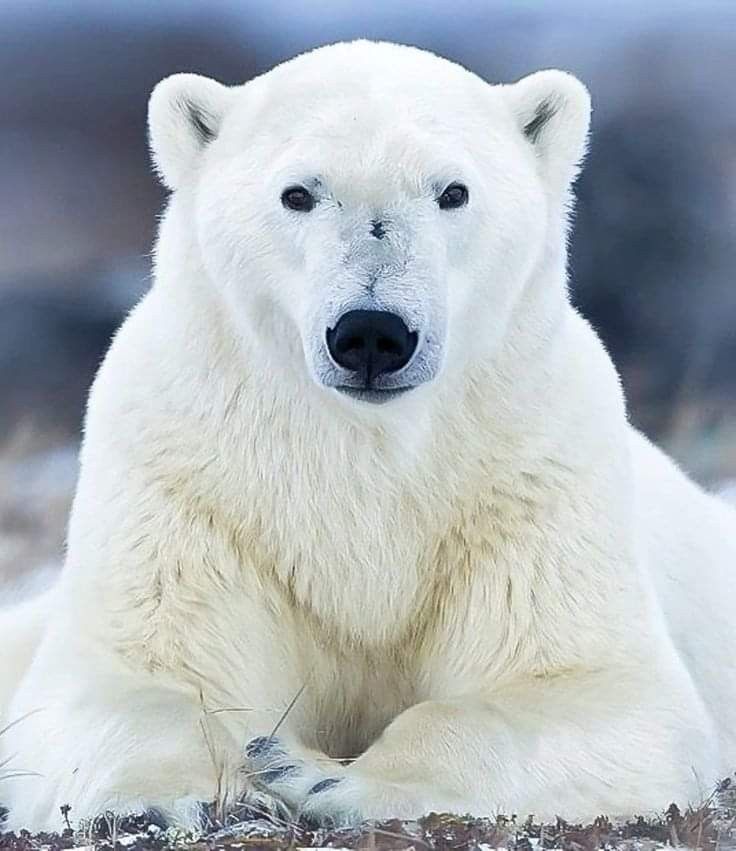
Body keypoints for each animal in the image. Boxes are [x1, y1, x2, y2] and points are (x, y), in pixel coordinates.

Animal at [1, 40, 736, 832]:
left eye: (453, 191)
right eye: (298, 193)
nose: (373, 333)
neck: (367, 440)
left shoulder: (532, 476)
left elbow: (600, 693)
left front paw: (320, 776)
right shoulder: (189, 477)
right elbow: (129, 677)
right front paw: (174, 794)